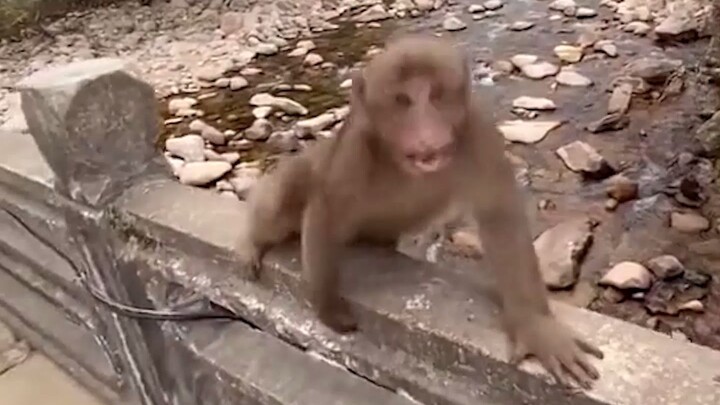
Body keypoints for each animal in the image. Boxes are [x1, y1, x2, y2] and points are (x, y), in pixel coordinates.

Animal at [236, 34, 604, 389]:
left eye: (436, 95)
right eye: (403, 101)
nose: (426, 131)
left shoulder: (476, 131)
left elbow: (500, 215)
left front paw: (536, 326)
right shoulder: (355, 147)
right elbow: (327, 207)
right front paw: (328, 308)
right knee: (284, 195)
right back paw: (253, 240)